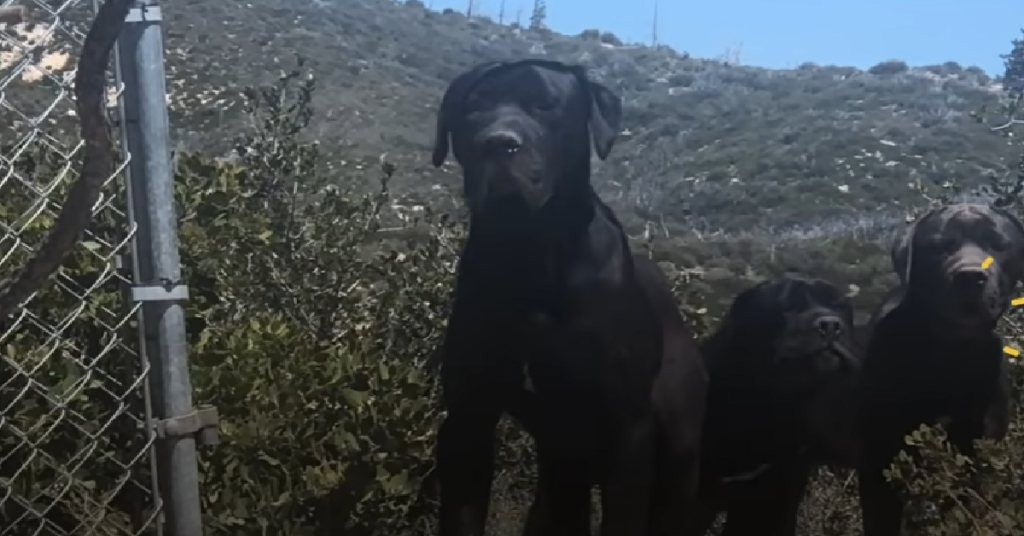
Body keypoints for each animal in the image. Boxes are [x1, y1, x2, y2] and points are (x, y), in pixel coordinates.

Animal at [428, 58, 708, 536]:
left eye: (545, 105)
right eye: (472, 108)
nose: (497, 143)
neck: (533, 253)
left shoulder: (627, 427)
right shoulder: (469, 418)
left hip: (677, 451)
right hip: (562, 464)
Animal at [856, 204, 1024, 536]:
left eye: (997, 244)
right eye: (938, 247)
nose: (970, 276)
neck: (950, 358)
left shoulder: (983, 452)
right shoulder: (878, 465)